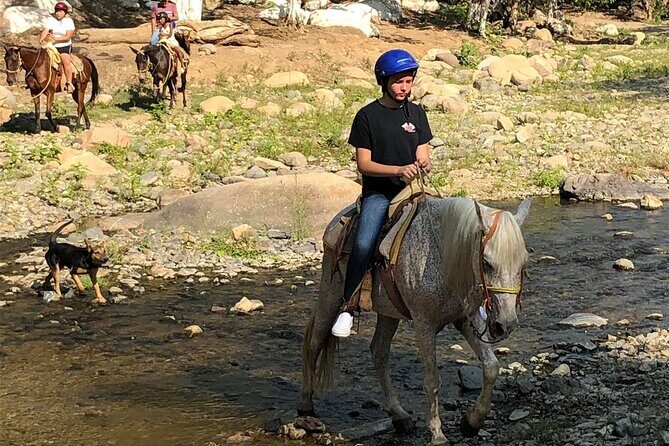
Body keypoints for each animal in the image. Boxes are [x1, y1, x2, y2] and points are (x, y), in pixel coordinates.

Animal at [299, 196, 531, 445]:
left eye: (523, 263)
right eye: (486, 262)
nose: (505, 324)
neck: (442, 256)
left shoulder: (465, 319)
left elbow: (491, 367)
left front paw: (472, 422)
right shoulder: (424, 325)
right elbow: (432, 380)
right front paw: (437, 434)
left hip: (388, 313)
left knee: (378, 352)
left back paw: (399, 416)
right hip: (330, 297)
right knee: (314, 344)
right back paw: (305, 407)